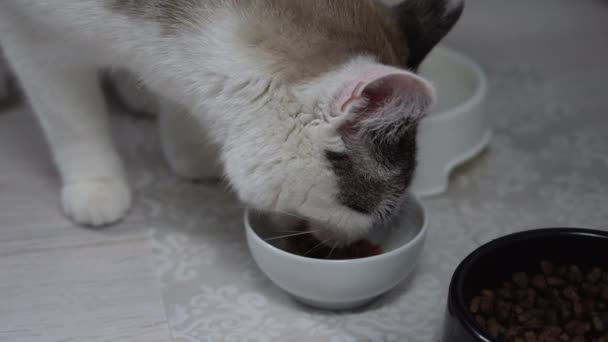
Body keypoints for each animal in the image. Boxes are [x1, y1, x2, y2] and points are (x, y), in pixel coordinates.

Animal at [0, 0, 464, 243]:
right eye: (364, 208)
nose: (360, 239)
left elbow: (178, 101)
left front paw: (188, 151)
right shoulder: (29, 34)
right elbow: (71, 119)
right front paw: (95, 185)